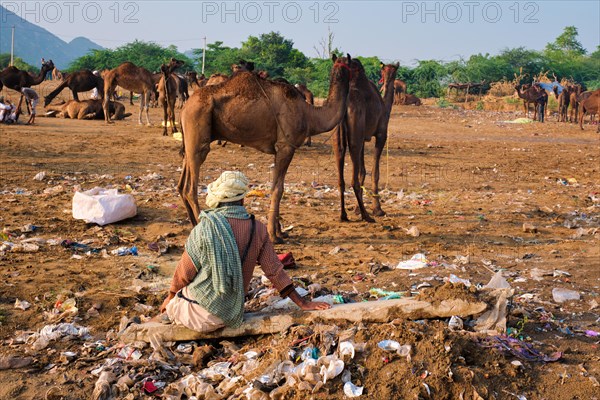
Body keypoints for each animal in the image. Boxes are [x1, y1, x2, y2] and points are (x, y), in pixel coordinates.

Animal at [177, 52, 352, 244]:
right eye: (352, 65)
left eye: (346, 65)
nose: (344, 74)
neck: (309, 114)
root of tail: (185, 107)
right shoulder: (286, 146)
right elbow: (278, 189)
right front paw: (274, 236)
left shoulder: (280, 149)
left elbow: (278, 185)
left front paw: (280, 232)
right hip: (197, 128)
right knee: (191, 187)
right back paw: (200, 229)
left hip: (191, 139)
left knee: (182, 182)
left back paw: (194, 224)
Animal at [332, 60, 398, 222]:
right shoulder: (381, 134)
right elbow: (375, 172)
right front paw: (377, 209)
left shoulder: (362, 138)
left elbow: (362, 171)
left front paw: (357, 208)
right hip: (357, 133)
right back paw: (366, 215)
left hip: (340, 134)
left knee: (340, 162)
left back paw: (343, 215)